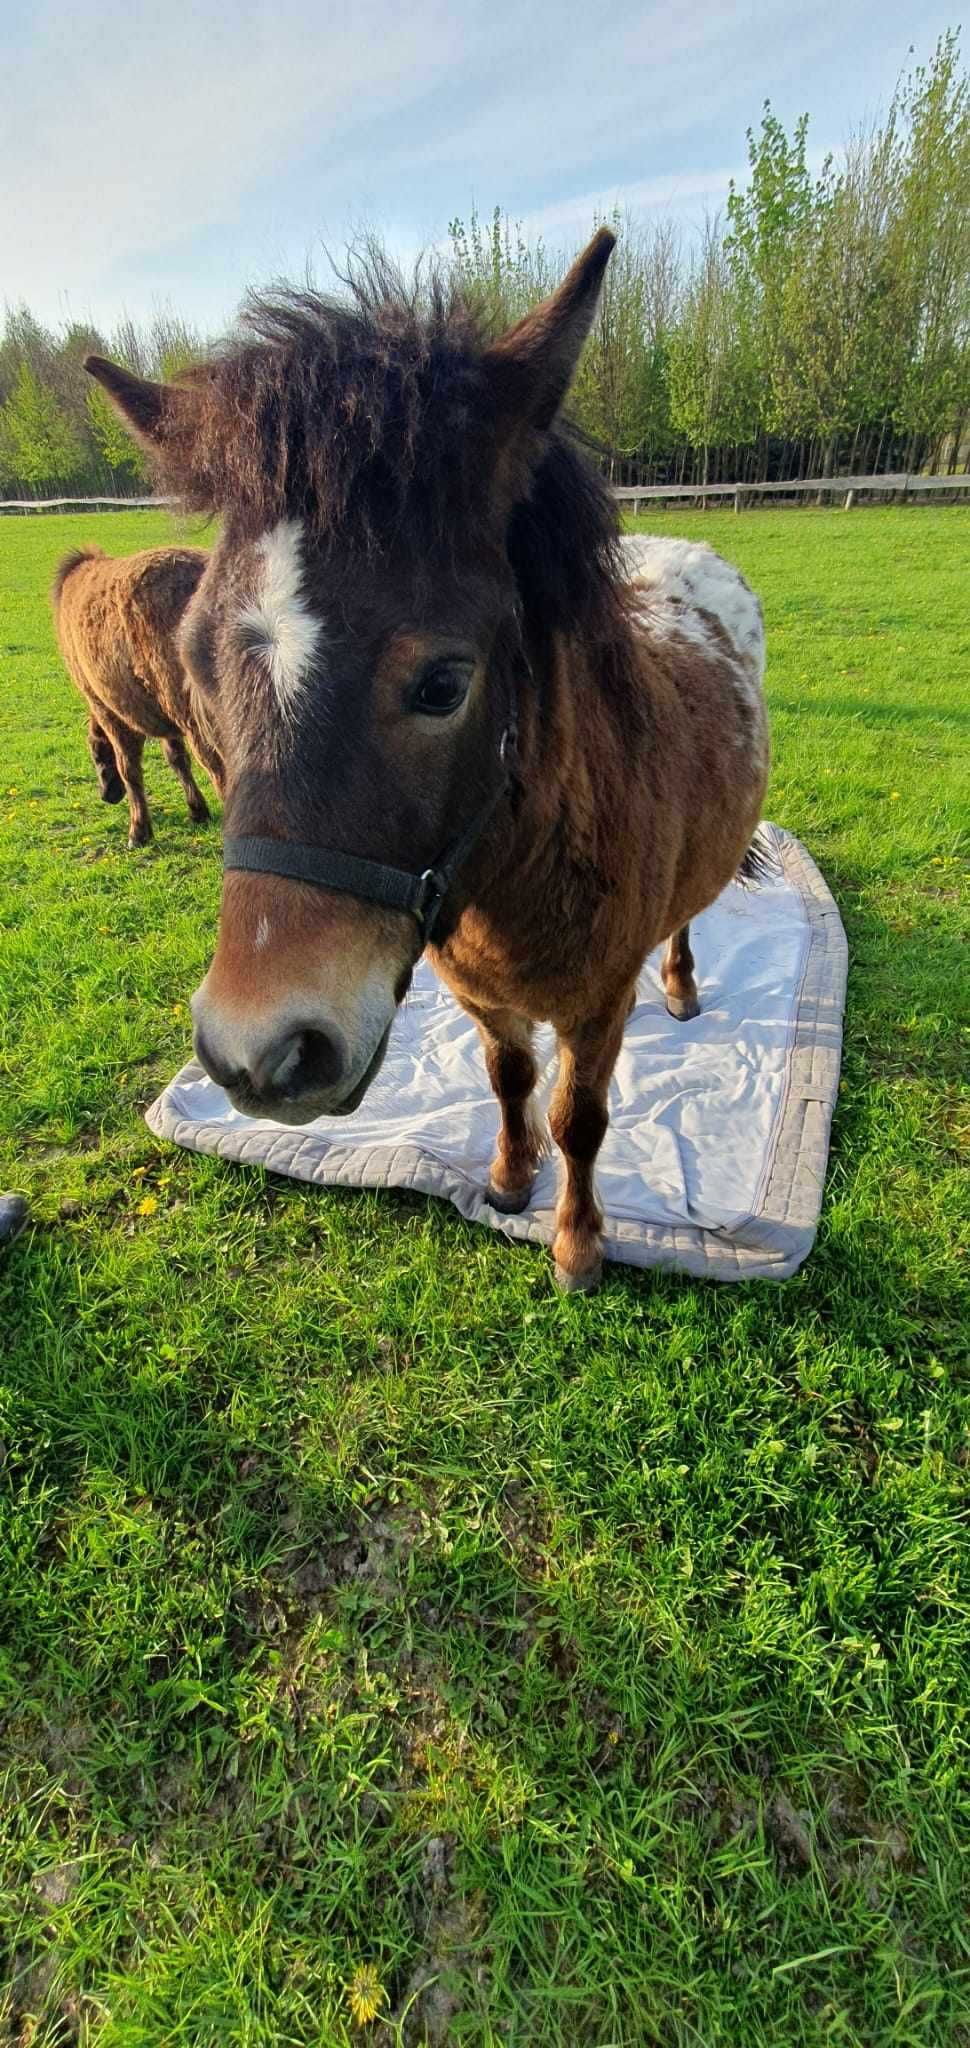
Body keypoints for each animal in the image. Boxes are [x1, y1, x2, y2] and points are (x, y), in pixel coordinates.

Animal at [51, 544, 223, 847]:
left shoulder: (109, 711)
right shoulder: (164, 717)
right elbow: (177, 759)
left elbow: (129, 768)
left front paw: (138, 831)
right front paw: (197, 810)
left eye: (95, 754)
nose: (106, 795)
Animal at [89, 239, 773, 1286]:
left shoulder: (597, 1006)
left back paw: (686, 984)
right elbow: (509, 1079)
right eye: (197, 664)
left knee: (689, 920)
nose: (256, 1054)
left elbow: (581, 1119)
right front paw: (507, 1178)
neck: (524, 866)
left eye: (444, 683)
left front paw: (578, 1242)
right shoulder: (481, 999)